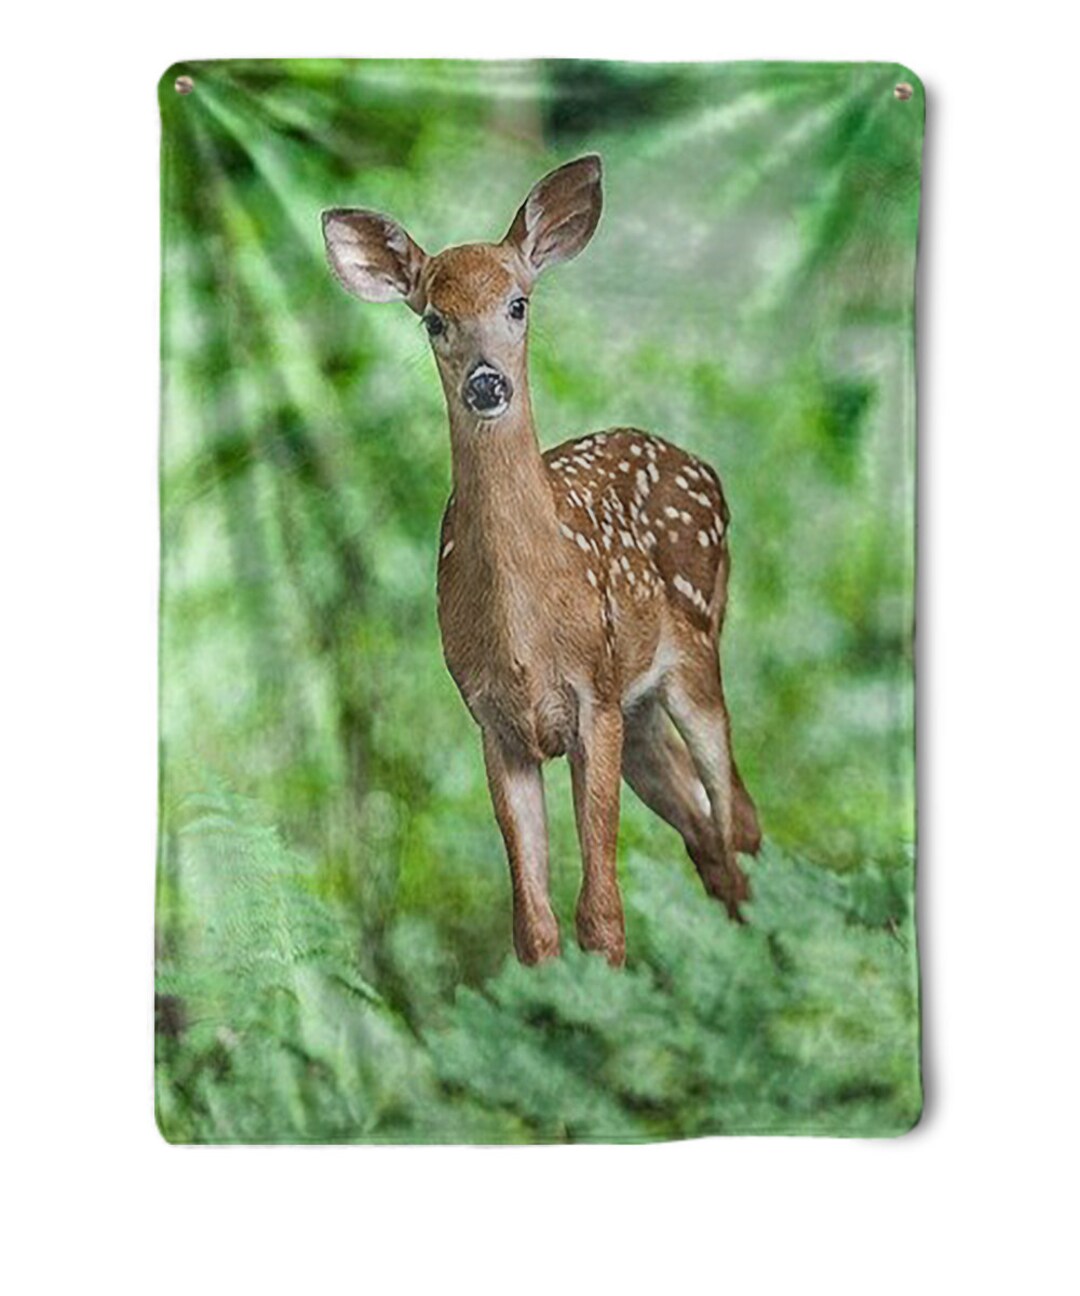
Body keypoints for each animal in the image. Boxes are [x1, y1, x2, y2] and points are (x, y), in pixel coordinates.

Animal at [322, 154, 760, 967]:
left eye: (519, 304)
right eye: (434, 318)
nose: (487, 382)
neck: (527, 632)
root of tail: (703, 465)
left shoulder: (593, 697)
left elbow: (603, 913)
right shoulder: (494, 722)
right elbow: (533, 925)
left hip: (694, 652)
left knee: (738, 817)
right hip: (641, 713)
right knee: (707, 835)